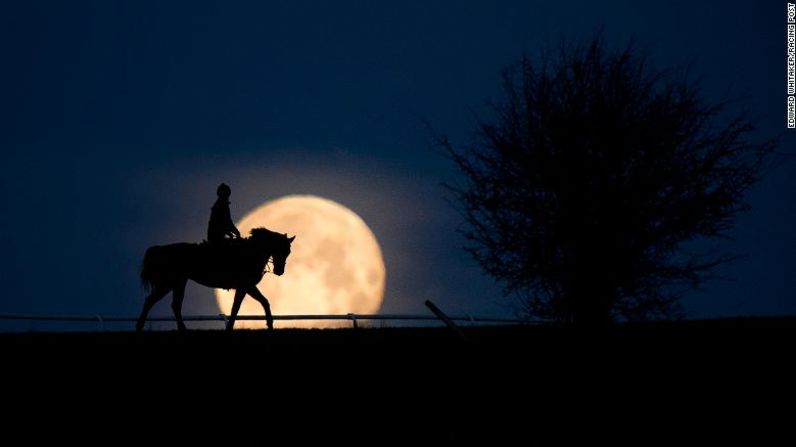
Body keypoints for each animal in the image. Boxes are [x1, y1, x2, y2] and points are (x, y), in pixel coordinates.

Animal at [137, 228, 296, 332]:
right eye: (281, 249)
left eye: (288, 252)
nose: (279, 271)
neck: (251, 253)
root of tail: (163, 249)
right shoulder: (244, 286)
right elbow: (236, 307)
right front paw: (230, 328)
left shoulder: (249, 286)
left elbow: (264, 302)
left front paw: (270, 325)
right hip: (170, 283)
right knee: (161, 303)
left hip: (175, 284)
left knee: (162, 303)